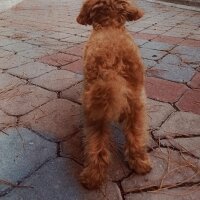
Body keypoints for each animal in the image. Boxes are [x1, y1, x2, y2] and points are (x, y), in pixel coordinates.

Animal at [76, 0, 152, 189]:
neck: (109, 25)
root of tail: (112, 67)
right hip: (136, 103)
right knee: (136, 136)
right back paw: (140, 163)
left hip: (95, 111)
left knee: (96, 144)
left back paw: (92, 176)